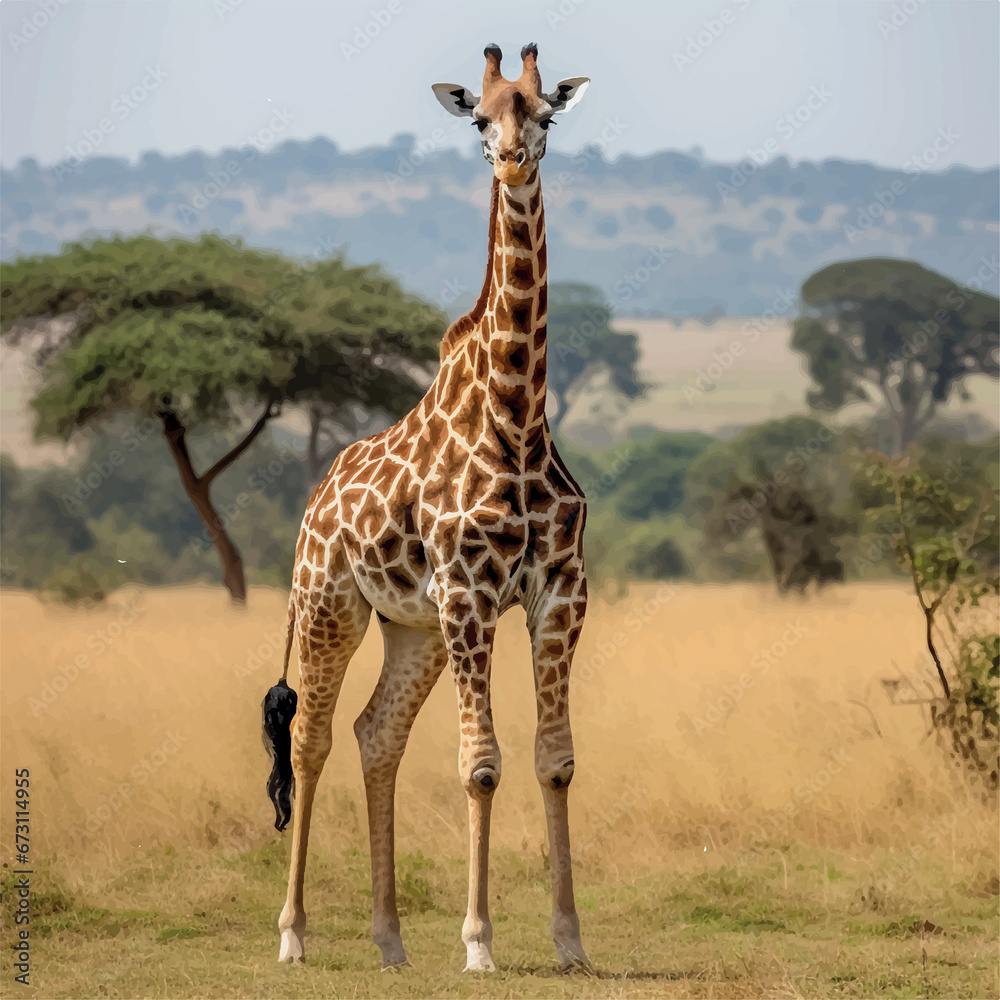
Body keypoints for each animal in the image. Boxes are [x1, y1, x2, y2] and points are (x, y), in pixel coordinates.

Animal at [261, 42, 592, 974]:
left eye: (544, 116)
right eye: (480, 115)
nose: (511, 159)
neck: (517, 417)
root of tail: (313, 504)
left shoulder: (559, 590)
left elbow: (554, 760)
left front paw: (570, 941)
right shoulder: (470, 593)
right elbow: (480, 764)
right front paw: (479, 944)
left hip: (413, 626)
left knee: (377, 734)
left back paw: (390, 940)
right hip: (331, 604)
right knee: (312, 739)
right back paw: (294, 933)